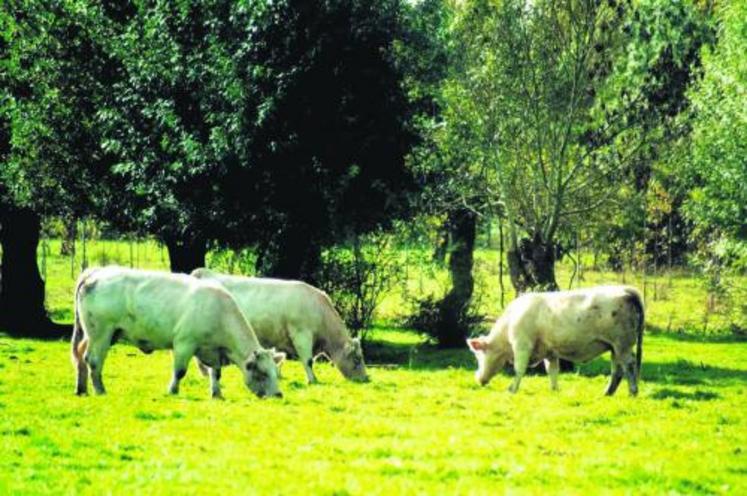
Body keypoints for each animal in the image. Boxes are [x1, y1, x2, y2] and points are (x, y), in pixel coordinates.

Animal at [71, 268, 286, 400]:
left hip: (95, 334)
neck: (219, 311)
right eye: (263, 373)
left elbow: (216, 373)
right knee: (93, 360)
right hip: (101, 333)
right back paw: (100, 390)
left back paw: (81, 390)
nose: (278, 395)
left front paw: (217, 394)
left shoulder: (213, 350)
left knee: (80, 356)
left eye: (277, 373)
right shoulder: (184, 343)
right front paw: (172, 391)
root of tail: (96, 272)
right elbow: (180, 371)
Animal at [191, 270, 370, 386]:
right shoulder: (301, 334)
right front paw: (312, 380)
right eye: (357, 359)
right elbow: (308, 360)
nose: (366, 379)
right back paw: (206, 373)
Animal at [468, 286, 644, 396]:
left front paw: (511, 390)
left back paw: (632, 392)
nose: (478, 378)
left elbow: (519, 369)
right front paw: (554, 390)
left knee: (629, 365)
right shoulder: (550, 351)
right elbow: (552, 371)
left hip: (623, 343)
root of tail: (625, 290)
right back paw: (607, 393)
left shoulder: (522, 345)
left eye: (478, 355)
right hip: (615, 347)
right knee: (617, 369)